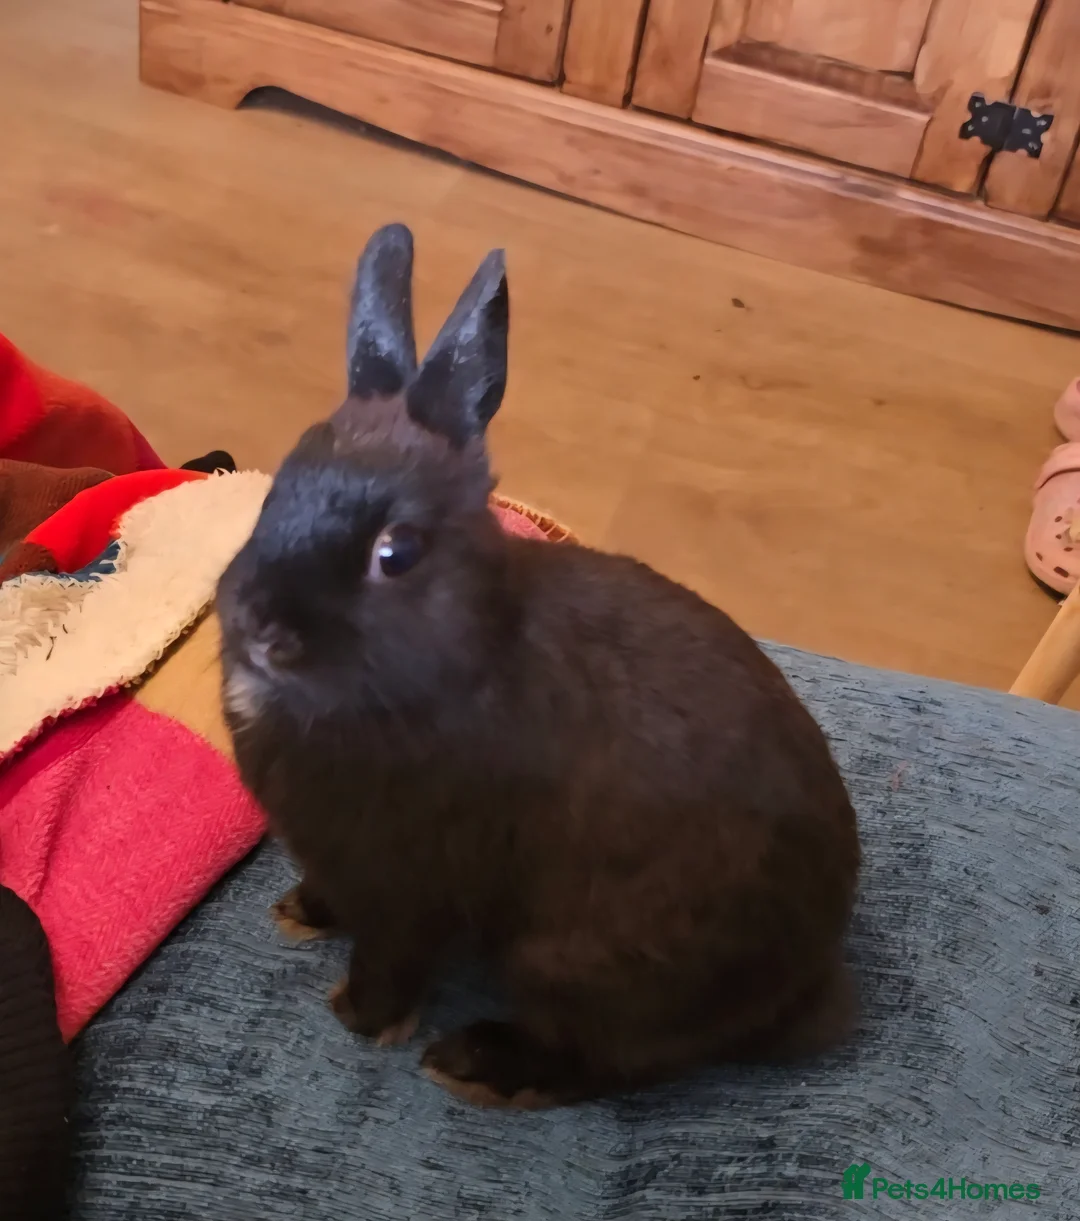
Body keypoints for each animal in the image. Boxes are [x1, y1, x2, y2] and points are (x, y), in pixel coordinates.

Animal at [216, 223, 861, 1108]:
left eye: (396, 552)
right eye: (277, 488)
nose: (257, 624)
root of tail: (806, 986)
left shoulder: (405, 886)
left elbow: (391, 960)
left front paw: (359, 1015)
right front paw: (300, 911)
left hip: (576, 962)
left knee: (608, 1063)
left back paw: (476, 1065)